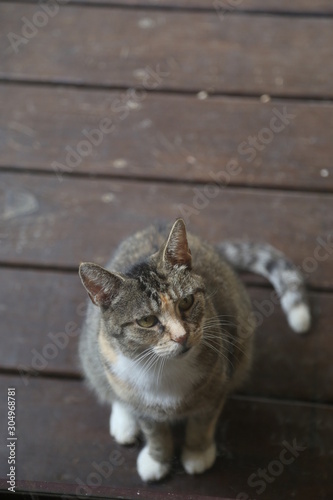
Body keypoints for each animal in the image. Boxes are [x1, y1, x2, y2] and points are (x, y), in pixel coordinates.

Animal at [77, 218, 308, 480]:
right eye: (146, 321)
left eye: (186, 302)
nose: (182, 336)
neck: (165, 368)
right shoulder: (137, 397)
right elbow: (154, 431)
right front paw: (157, 460)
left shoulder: (217, 382)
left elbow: (202, 423)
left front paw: (197, 454)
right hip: (95, 347)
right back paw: (124, 421)